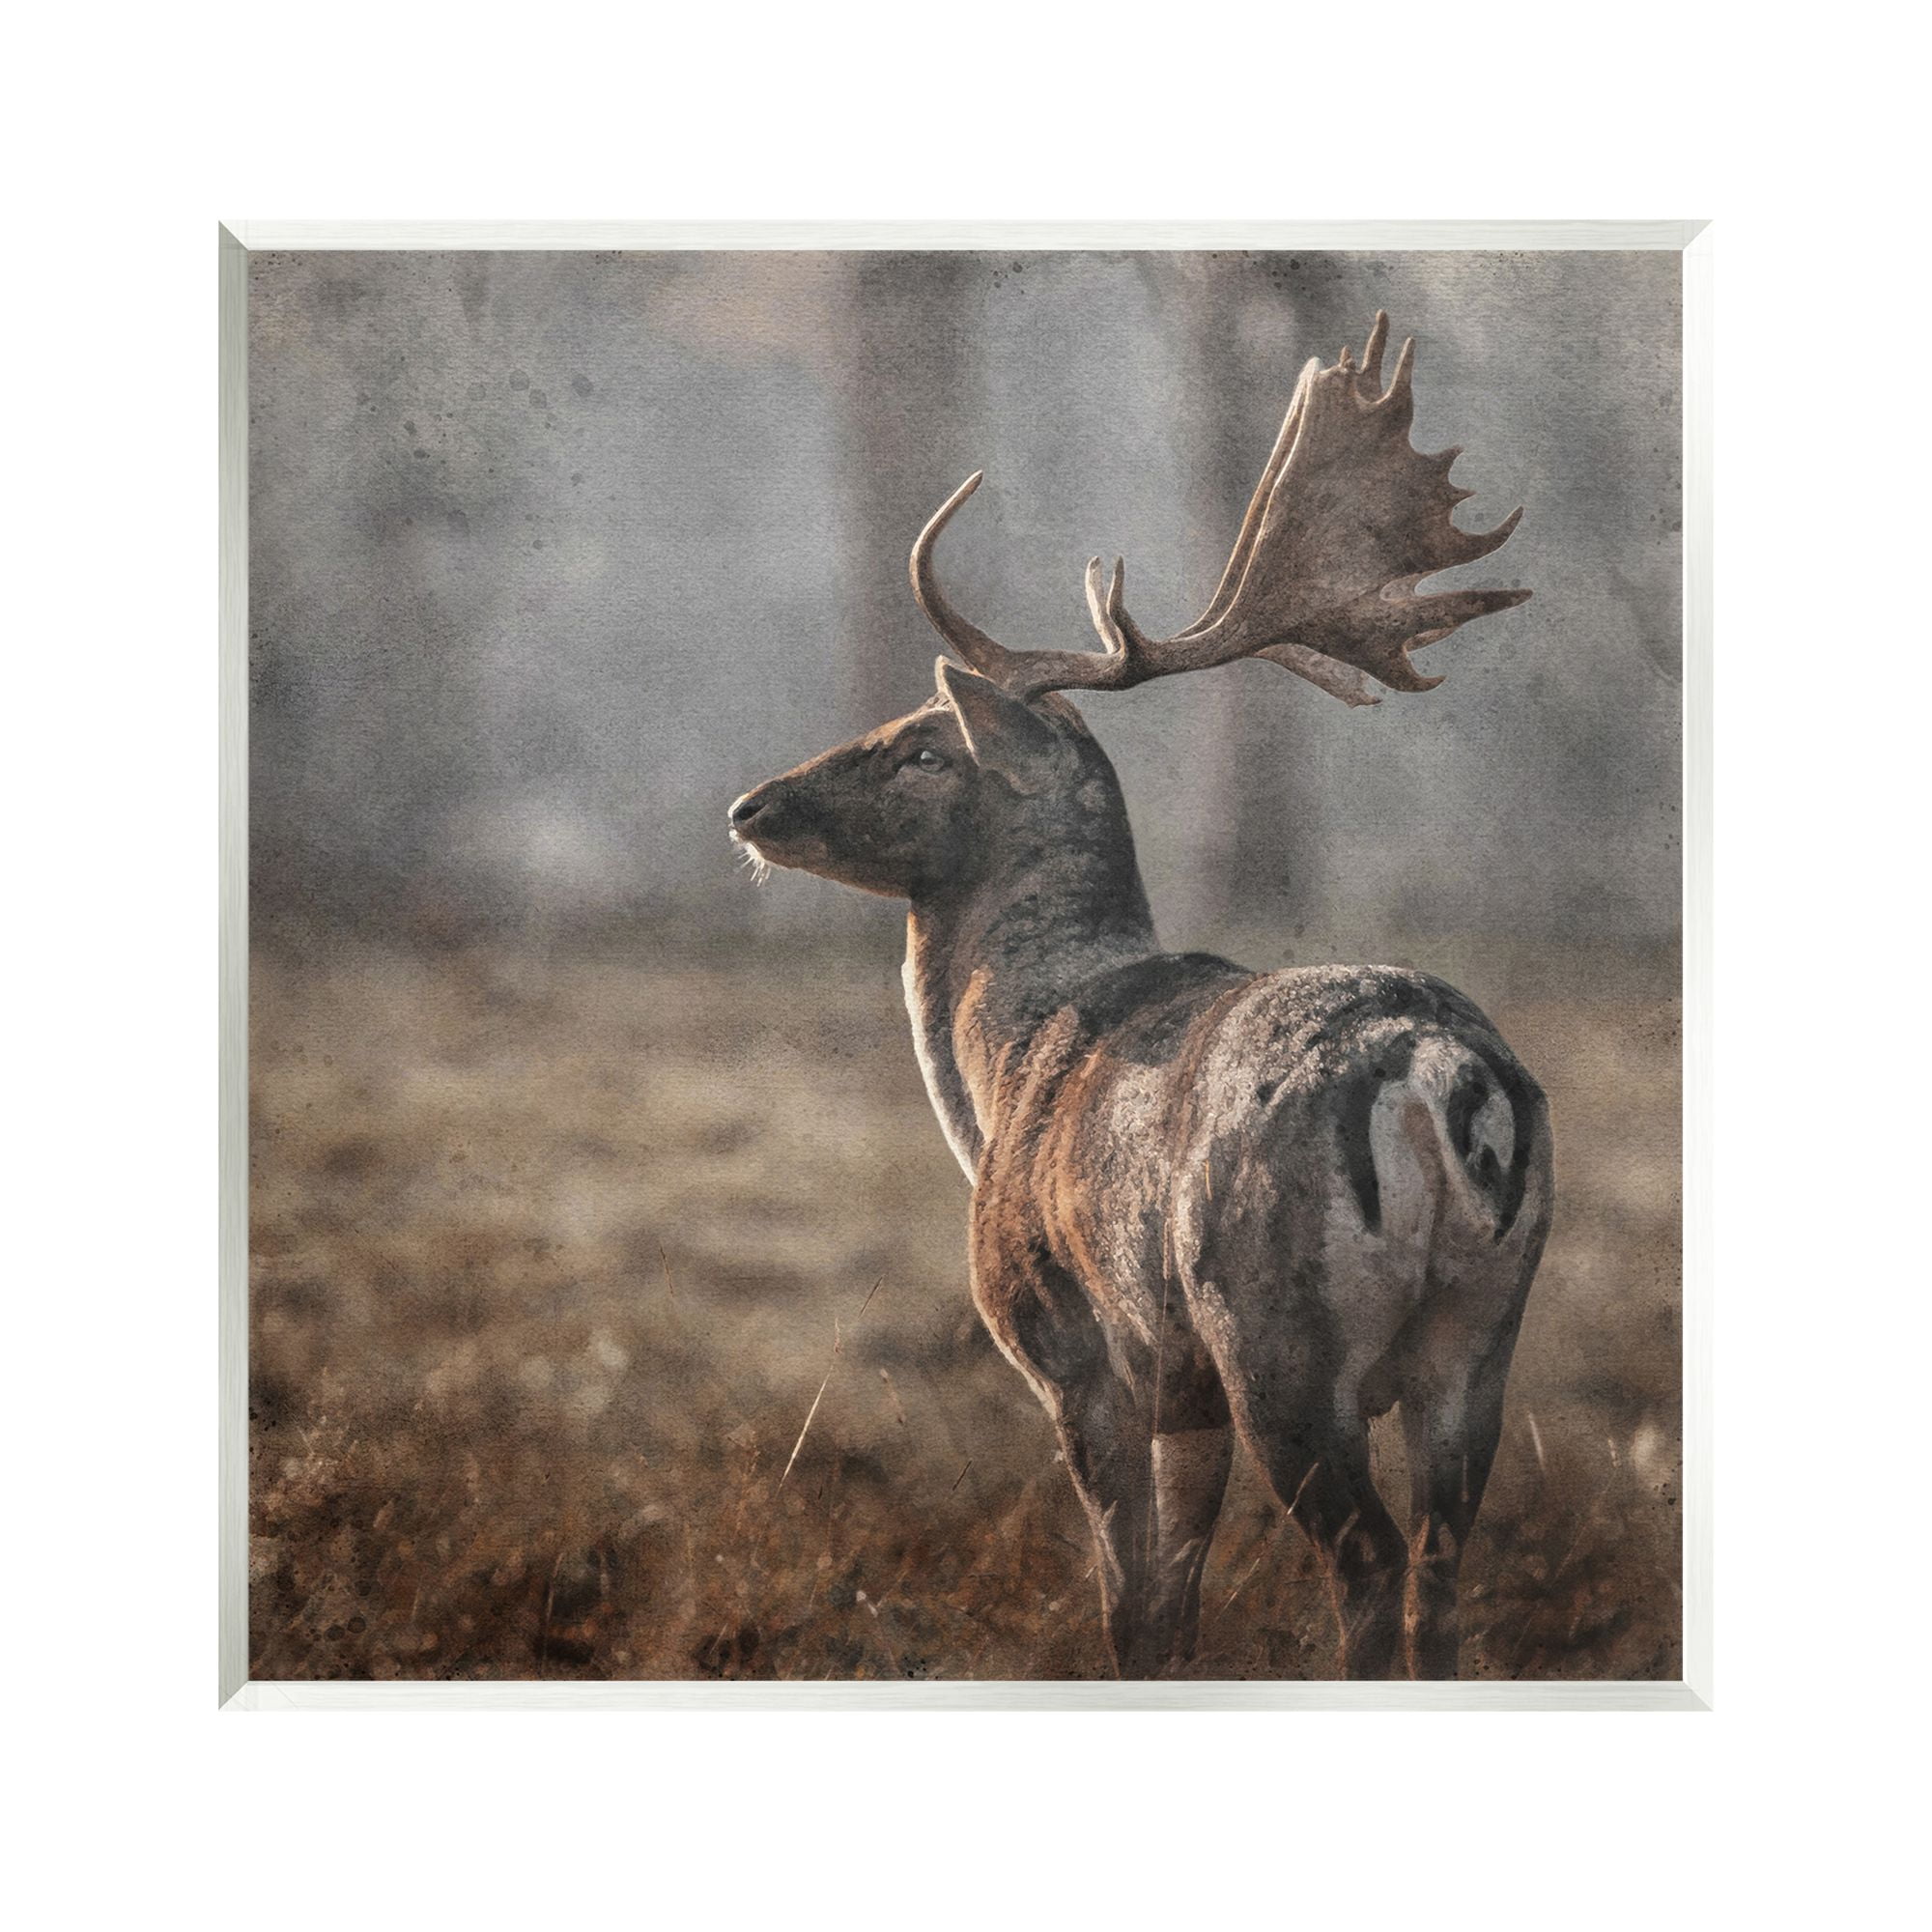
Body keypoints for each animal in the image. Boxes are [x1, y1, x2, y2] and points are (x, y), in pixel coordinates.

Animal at [726, 314, 1552, 1680]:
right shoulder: (1185, 1394)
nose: (751, 804)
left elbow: (1127, 1604)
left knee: (1367, 1560)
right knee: (1440, 1569)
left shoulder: (1078, 1348)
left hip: (1277, 1333)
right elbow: (1175, 1603)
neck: (1005, 1066)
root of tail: (1442, 1075)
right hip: (1477, 1337)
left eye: (921, 745)